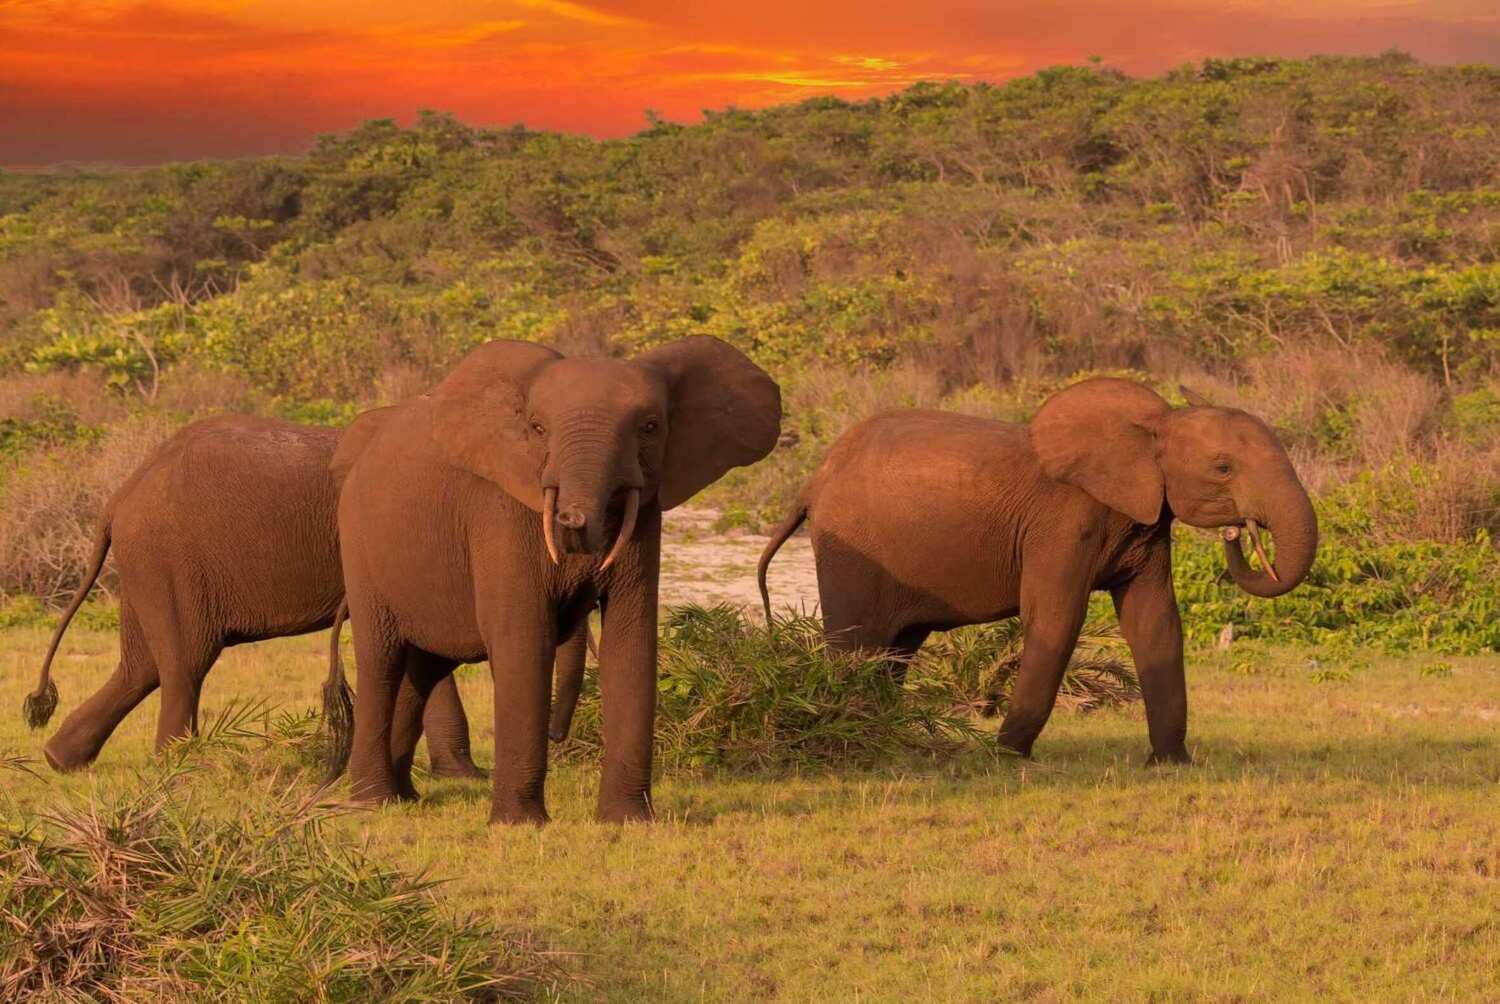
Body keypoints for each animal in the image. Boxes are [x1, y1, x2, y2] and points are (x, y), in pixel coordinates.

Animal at [18, 414, 585, 776]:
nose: (558, 742)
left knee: (141, 667)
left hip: (149, 564)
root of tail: (119, 497)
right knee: (184, 663)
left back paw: (60, 760)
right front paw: (465, 779)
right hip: (168, 558)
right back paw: (179, 769)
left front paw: (461, 778)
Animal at [334, 335, 780, 823]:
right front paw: (519, 826)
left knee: (424, 670)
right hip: (358, 544)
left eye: (650, 427)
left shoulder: (644, 515)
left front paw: (628, 822)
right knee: (381, 660)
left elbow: (631, 637)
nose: (571, 519)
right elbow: (524, 638)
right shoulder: (501, 509)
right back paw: (371, 802)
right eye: (537, 428)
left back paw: (404, 798)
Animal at [756, 378, 1317, 764]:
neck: (1153, 425)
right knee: (855, 645)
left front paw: (1171, 764)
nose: (1239, 533)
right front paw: (1007, 757)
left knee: (894, 650)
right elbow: (1056, 618)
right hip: (849, 551)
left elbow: (1155, 622)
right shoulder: (1063, 522)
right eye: (1223, 468)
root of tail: (813, 481)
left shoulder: (1147, 519)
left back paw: (885, 738)